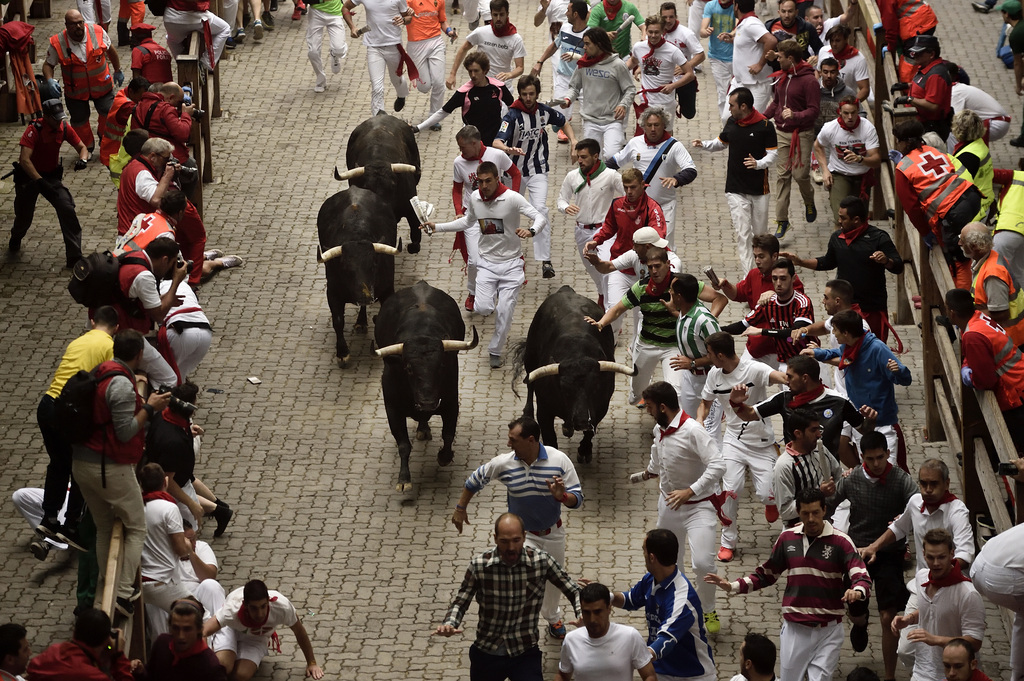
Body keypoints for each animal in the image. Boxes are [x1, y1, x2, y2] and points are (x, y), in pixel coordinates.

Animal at [315, 186, 399, 364]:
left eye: (374, 265)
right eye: (346, 268)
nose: (365, 297)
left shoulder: (388, 289)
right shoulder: (332, 293)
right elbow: (338, 321)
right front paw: (342, 353)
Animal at [374, 278, 477, 491]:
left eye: (441, 366)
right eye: (408, 368)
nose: (427, 403)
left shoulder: (451, 403)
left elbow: (448, 434)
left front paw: (444, 457)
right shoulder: (392, 409)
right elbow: (403, 444)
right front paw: (404, 479)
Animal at [516, 280, 634, 462]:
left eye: (595, 387)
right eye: (565, 388)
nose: (581, 421)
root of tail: (567, 290)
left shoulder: (600, 407)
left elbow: (590, 432)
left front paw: (584, 450)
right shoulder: (544, 409)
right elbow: (550, 438)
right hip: (530, 356)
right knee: (530, 382)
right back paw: (528, 413)